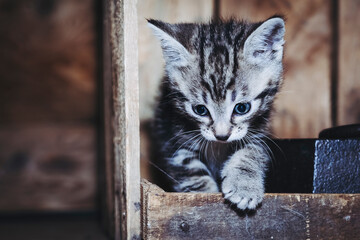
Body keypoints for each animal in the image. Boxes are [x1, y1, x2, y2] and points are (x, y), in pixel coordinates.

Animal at [148, 16, 286, 210]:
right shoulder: (172, 137)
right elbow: (190, 171)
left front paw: (244, 187)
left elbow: (251, 152)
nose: (222, 136)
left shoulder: (259, 130)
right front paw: (204, 196)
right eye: (200, 110)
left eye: (242, 108)